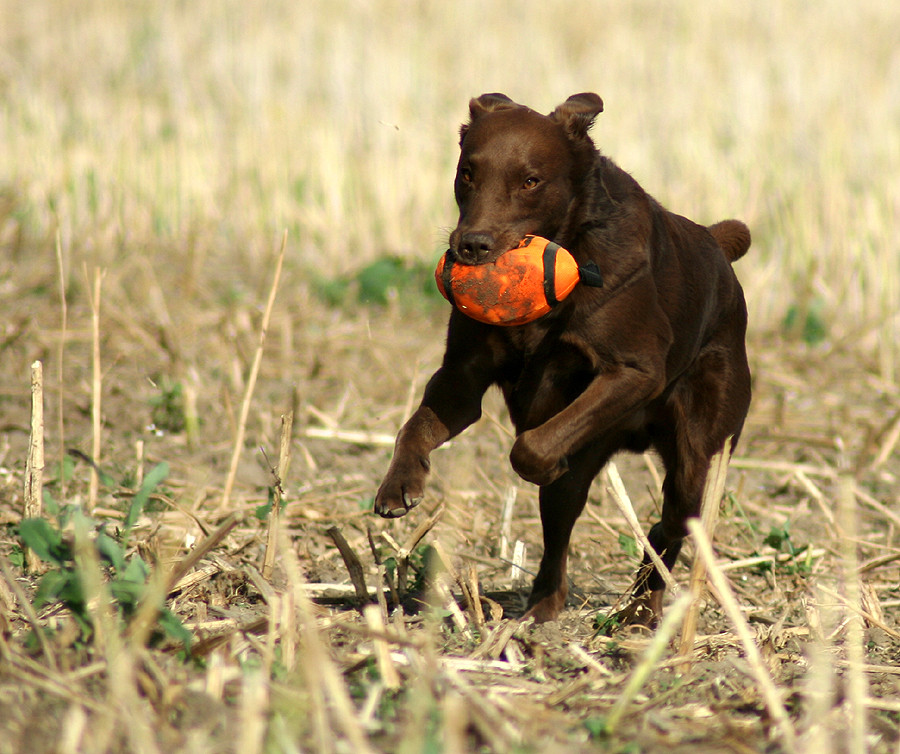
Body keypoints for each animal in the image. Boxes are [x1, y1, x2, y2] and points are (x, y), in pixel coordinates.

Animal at [374, 92, 752, 624]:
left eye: (531, 181)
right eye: (467, 173)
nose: (471, 246)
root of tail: (717, 246)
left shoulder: (635, 371)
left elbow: (530, 447)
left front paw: (541, 463)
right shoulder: (461, 379)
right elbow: (416, 427)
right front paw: (398, 486)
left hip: (701, 446)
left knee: (672, 520)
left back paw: (643, 607)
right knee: (564, 528)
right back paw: (543, 607)